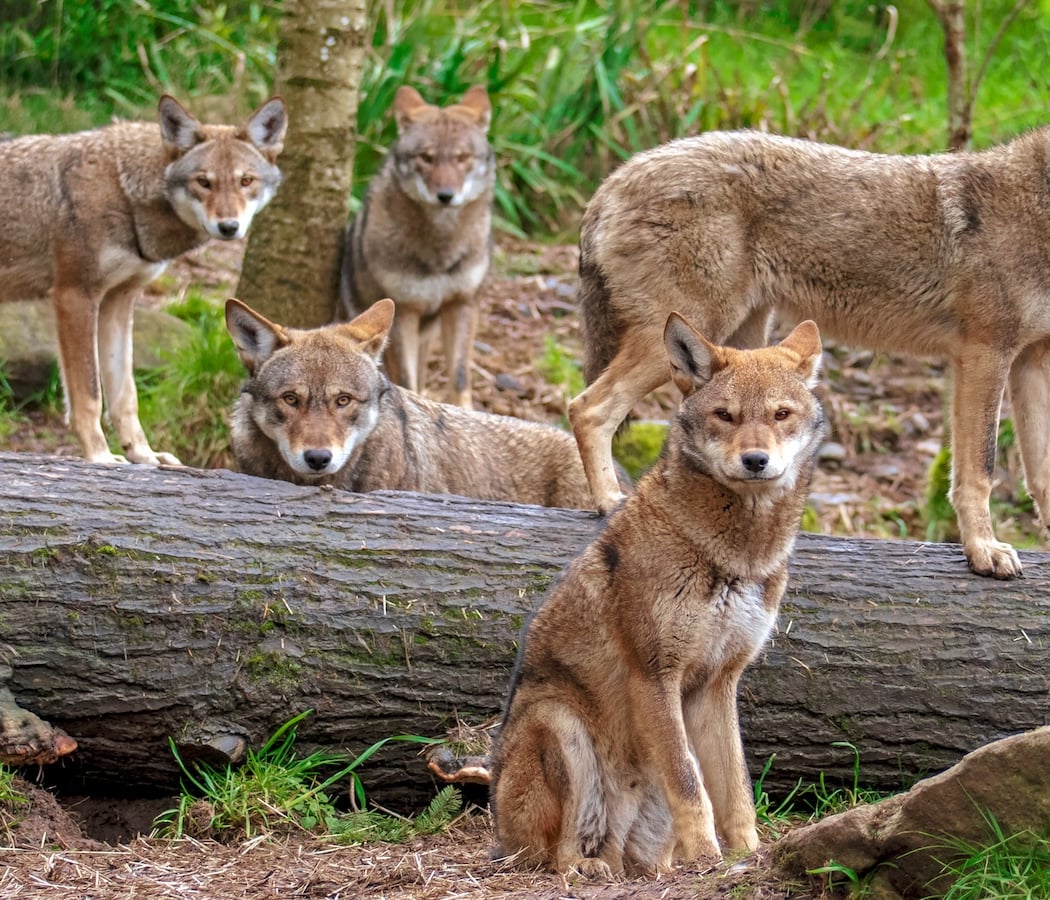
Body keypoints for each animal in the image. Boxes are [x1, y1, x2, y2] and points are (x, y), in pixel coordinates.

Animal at [0, 94, 287, 466]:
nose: (228, 227)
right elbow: (89, 396)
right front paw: (99, 456)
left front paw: (144, 455)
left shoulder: (118, 301)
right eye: (203, 182)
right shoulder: (74, 295)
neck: (124, 192)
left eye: (246, 181)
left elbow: (125, 395)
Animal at [340, 85, 495, 408]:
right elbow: (407, 381)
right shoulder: (404, 313)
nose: (446, 196)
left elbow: (460, 376)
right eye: (426, 157)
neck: (439, 250)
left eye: (462, 157)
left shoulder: (462, 304)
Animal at [491, 316, 826, 876]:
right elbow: (690, 784)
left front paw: (747, 854)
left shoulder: (719, 682)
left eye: (781, 415)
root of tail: (499, 835)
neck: (735, 559)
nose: (756, 460)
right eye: (725, 415)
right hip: (559, 722)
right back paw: (586, 867)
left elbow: (734, 789)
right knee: (559, 856)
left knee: (637, 858)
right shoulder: (653, 675)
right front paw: (711, 857)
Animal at [567, 127, 1050, 579]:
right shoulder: (985, 352)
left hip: (743, 342)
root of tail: (613, 180)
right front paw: (984, 550)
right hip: (687, 331)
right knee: (586, 408)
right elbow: (980, 469)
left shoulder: (1032, 360)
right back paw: (610, 501)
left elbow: (1041, 473)